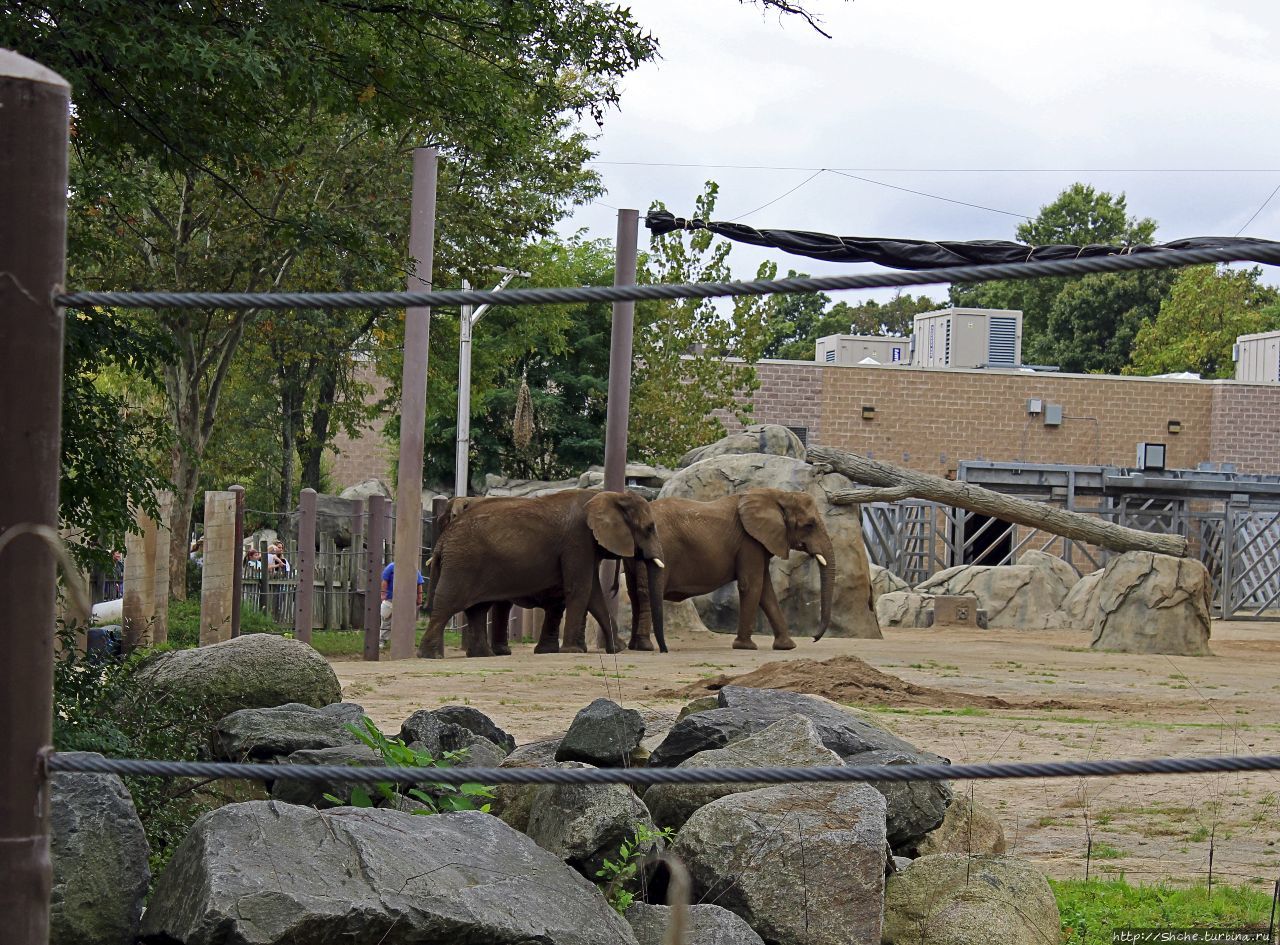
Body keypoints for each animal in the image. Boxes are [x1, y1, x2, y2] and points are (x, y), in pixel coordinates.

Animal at [417, 486, 670, 655]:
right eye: (650, 528)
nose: (663, 651)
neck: (608, 495)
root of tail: (443, 538)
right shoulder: (578, 540)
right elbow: (580, 589)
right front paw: (572, 652)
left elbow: (594, 594)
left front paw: (615, 649)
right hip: (463, 561)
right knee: (448, 603)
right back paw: (430, 655)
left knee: (477, 609)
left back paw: (484, 655)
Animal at [622, 486, 839, 647]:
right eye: (810, 525)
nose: (814, 638)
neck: (778, 495)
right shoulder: (749, 542)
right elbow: (752, 585)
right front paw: (745, 646)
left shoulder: (758, 543)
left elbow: (765, 590)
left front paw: (787, 646)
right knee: (646, 593)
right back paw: (645, 646)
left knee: (634, 593)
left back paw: (634, 646)